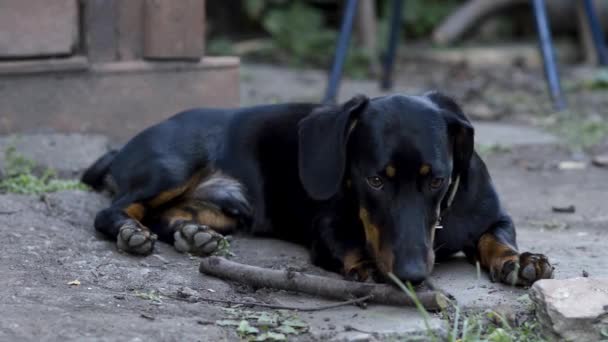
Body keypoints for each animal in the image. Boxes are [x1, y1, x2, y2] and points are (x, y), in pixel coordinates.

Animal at [82, 91, 556, 286]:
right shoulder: (327, 227)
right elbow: (347, 243)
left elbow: (496, 238)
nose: (411, 277)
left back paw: (194, 235)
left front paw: (520, 261)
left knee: (168, 215)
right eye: (375, 179)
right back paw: (131, 233)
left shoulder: (495, 217)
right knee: (119, 209)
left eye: (437, 179)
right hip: (172, 165)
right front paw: (367, 267)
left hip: (228, 208)